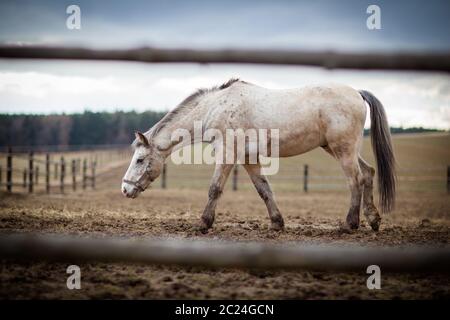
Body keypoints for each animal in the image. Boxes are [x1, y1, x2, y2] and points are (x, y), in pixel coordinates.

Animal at [120, 77, 394, 232]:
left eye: (140, 160)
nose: (125, 189)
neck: (214, 108)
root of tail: (357, 92)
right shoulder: (249, 160)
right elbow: (264, 190)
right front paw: (277, 223)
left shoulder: (227, 155)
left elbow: (214, 189)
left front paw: (203, 223)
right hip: (339, 149)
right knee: (368, 174)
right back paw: (373, 220)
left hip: (343, 149)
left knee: (355, 180)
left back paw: (350, 224)